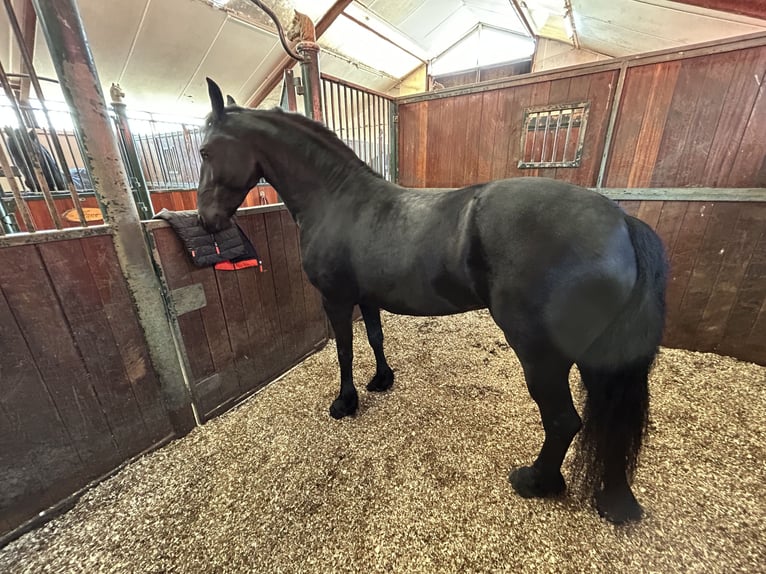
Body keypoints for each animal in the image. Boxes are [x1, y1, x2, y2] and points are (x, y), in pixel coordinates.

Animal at [197, 78, 667, 524]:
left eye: (204, 150)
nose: (206, 221)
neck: (337, 201)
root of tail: (621, 222)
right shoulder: (366, 297)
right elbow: (375, 338)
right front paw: (382, 380)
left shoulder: (336, 299)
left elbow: (345, 350)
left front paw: (345, 402)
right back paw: (613, 498)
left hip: (542, 354)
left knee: (563, 420)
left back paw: (536, 481)